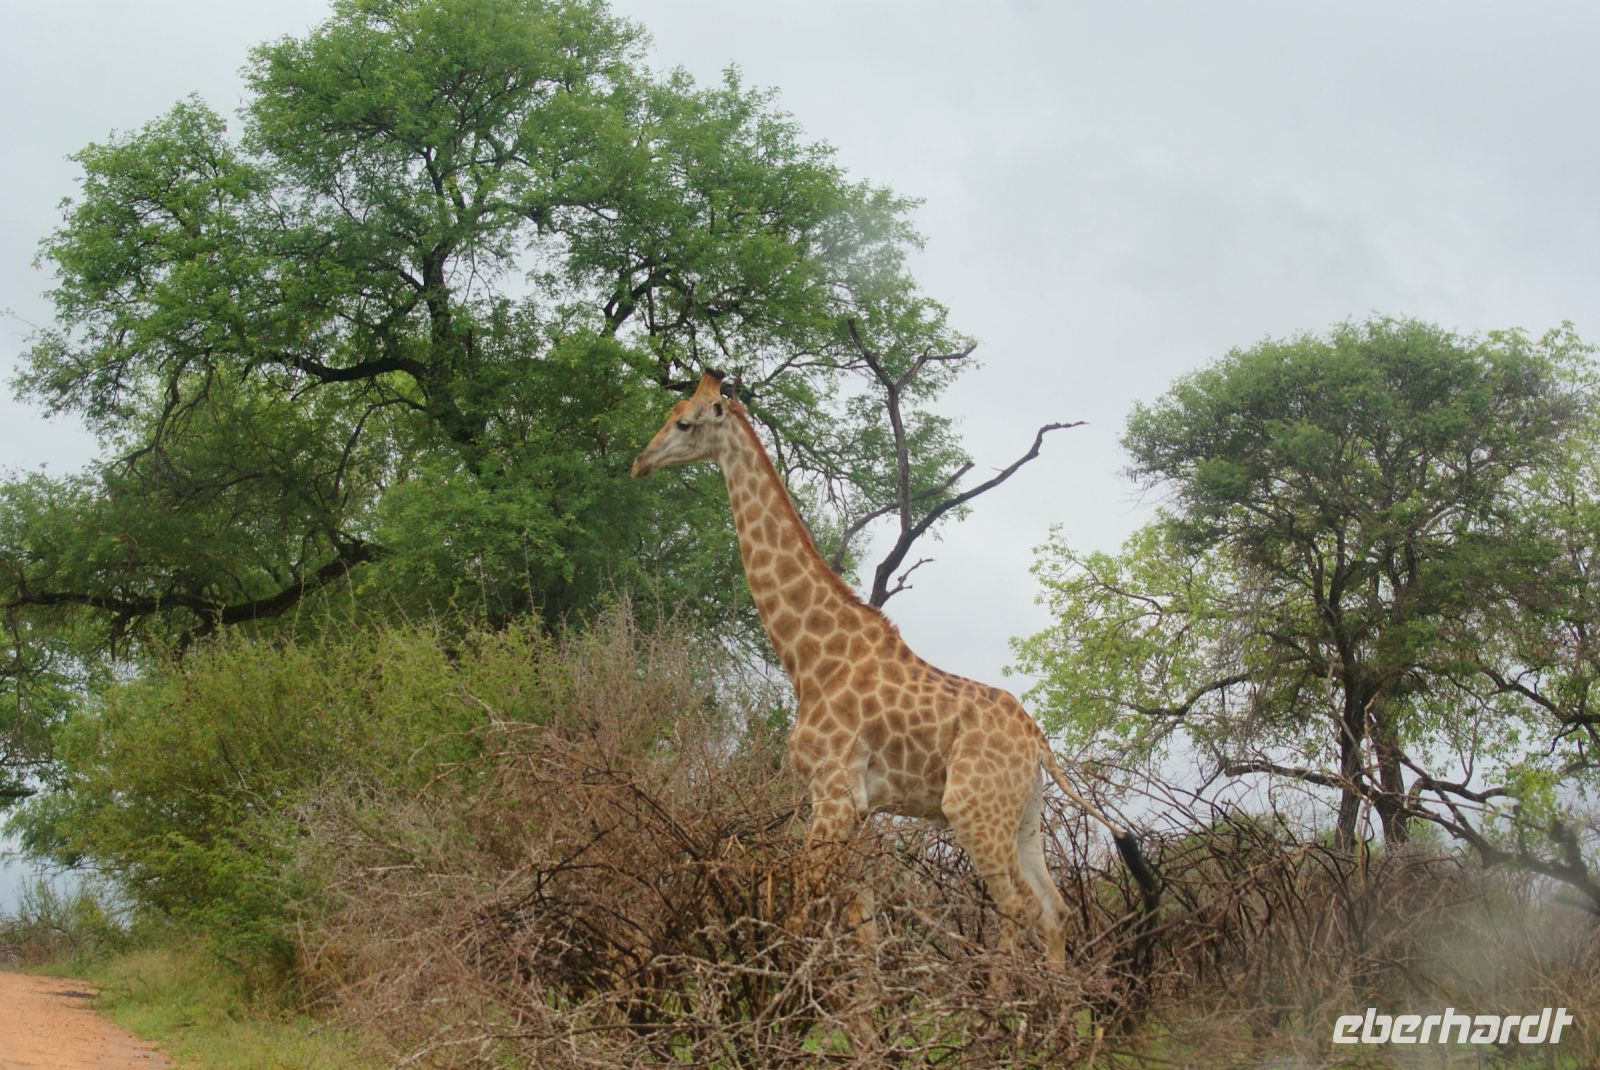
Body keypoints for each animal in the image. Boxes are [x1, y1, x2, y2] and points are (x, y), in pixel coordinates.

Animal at [632, 370, 1156, 967]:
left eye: (683, 422)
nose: (640, 462)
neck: (809, 658)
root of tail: (1039, 742)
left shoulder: (834, 792)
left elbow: (802, 908)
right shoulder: (857, 807)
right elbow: (862, 926)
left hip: (973, 811)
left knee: (1017, 908)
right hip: (1023, 816)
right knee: (1055, 909)